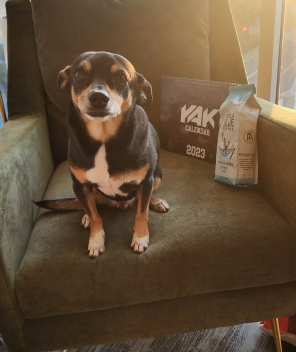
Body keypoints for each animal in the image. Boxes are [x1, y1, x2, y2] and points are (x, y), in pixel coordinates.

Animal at [36, 51, 170, 256]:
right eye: (79, 75)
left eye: (121, 78)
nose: (98, 97)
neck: (104, 139)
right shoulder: (80, 185)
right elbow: (95, 216)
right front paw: (96, 240)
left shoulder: (145, 181)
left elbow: (142, 213)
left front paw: (140, 238)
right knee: (91, 206)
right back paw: (86, 216)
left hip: (157, 175)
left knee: (145, 199)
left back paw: (156, 202)